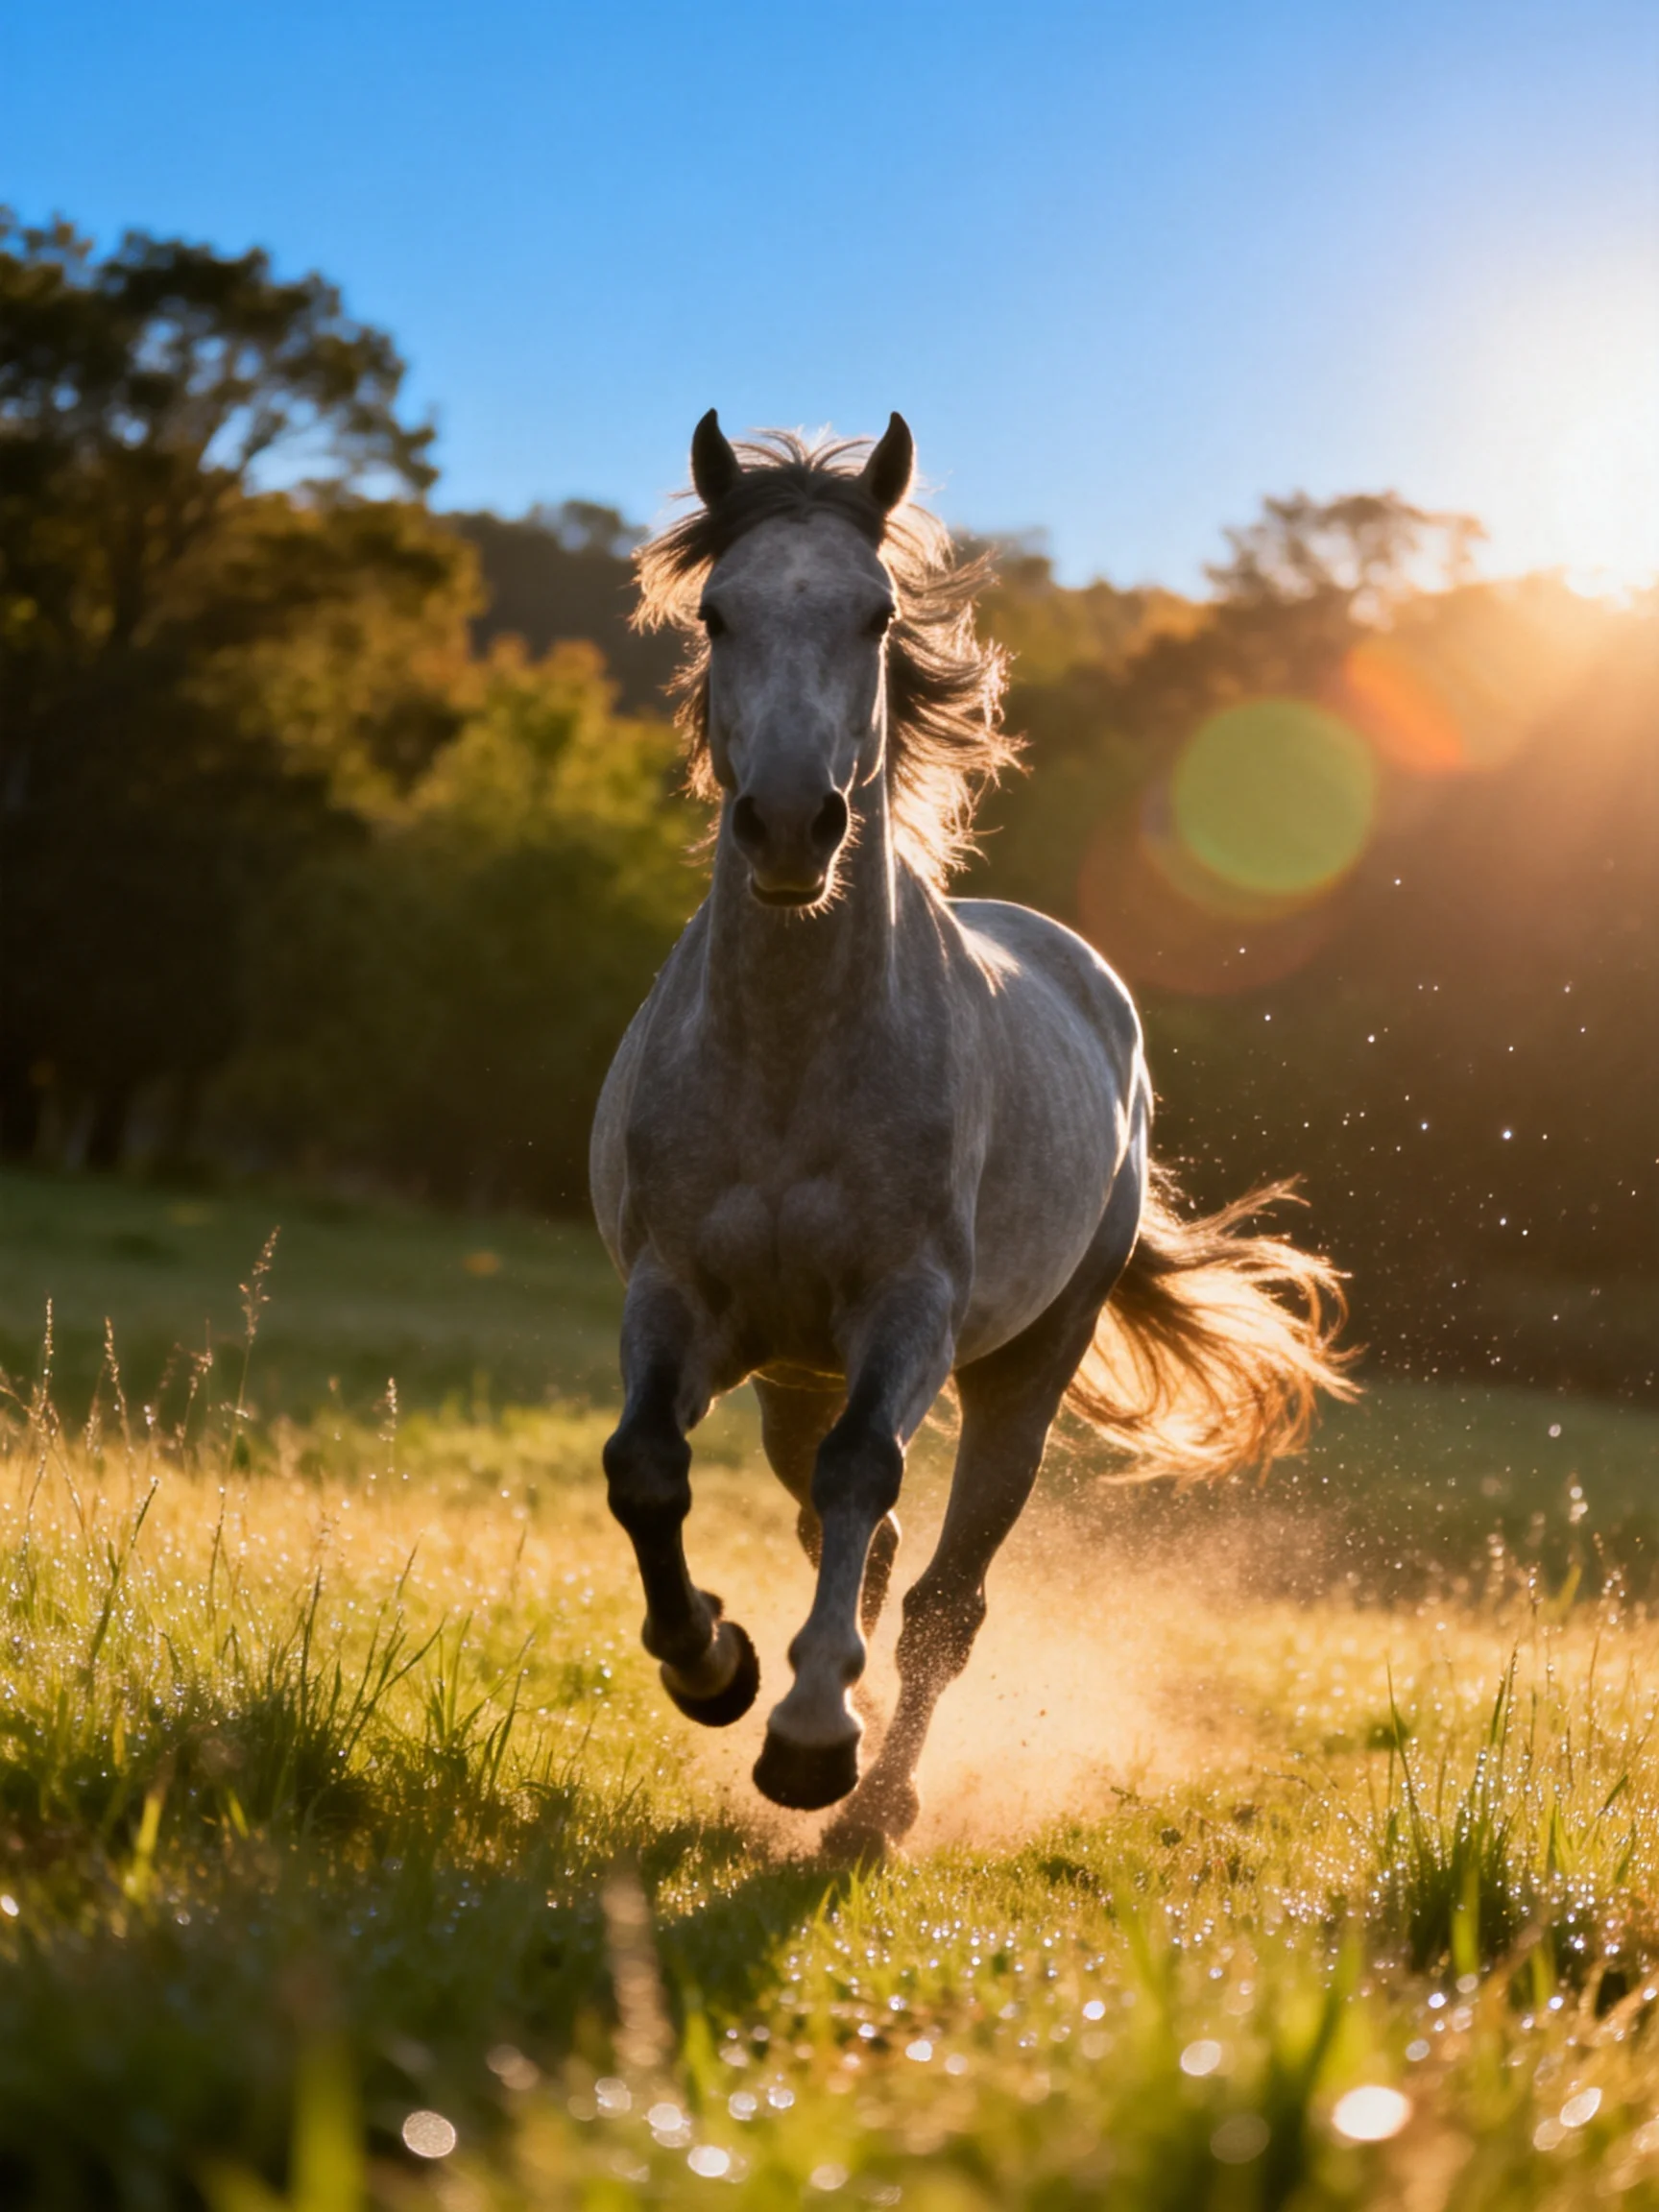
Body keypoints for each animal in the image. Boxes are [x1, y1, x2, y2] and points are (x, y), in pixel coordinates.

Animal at [590, 411, 1353, 1852]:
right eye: (716, 614)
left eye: (878, 615)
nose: (790, 824)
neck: (790, 1065)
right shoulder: (677, 1295)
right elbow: (646, 1470)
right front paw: (713, 1663)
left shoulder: (911, 1313)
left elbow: (865, 1481)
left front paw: (810, 1738)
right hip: (792, 1375)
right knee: (866, 1548)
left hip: (1023, 1369)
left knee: (945, 1592)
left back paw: (874, 1805)